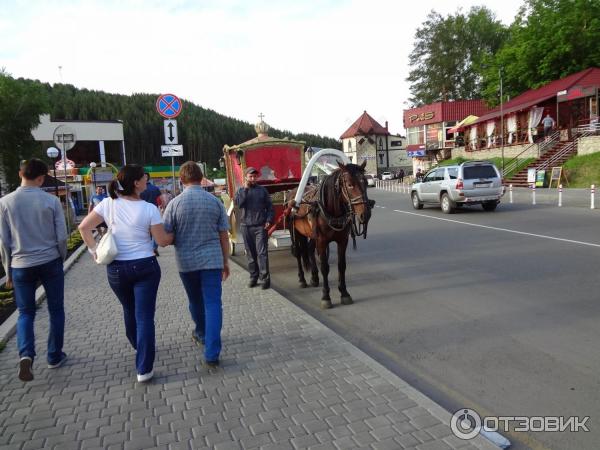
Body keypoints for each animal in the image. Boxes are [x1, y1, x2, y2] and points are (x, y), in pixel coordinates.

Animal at [288, 159, 376, 310]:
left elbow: (342, 265)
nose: (365, 214)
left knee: (309, 250)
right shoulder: (322, 241)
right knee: (298, 253)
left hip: (312, 234)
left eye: (365, 181)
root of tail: (292, 192)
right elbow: (325, 267)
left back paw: (314, 277)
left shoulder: (342, 241)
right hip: (296, 231)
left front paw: (344, 293)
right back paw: (302, 279)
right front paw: (326, 296)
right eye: (349, 184)